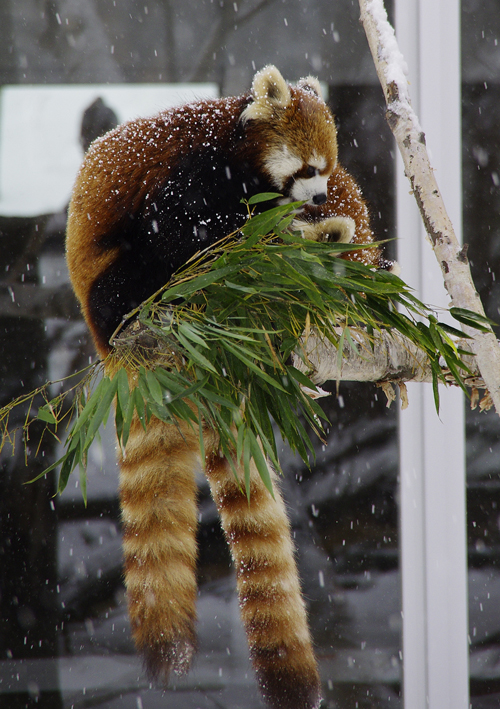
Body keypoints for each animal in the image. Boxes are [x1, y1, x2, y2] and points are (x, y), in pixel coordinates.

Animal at [65, 66, 386, 708]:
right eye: (308, 168)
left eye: (326, 167)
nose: (319, 199)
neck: (240, 159)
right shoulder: (189, 174)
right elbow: (188, 229)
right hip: (111, 287)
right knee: (146, 267)